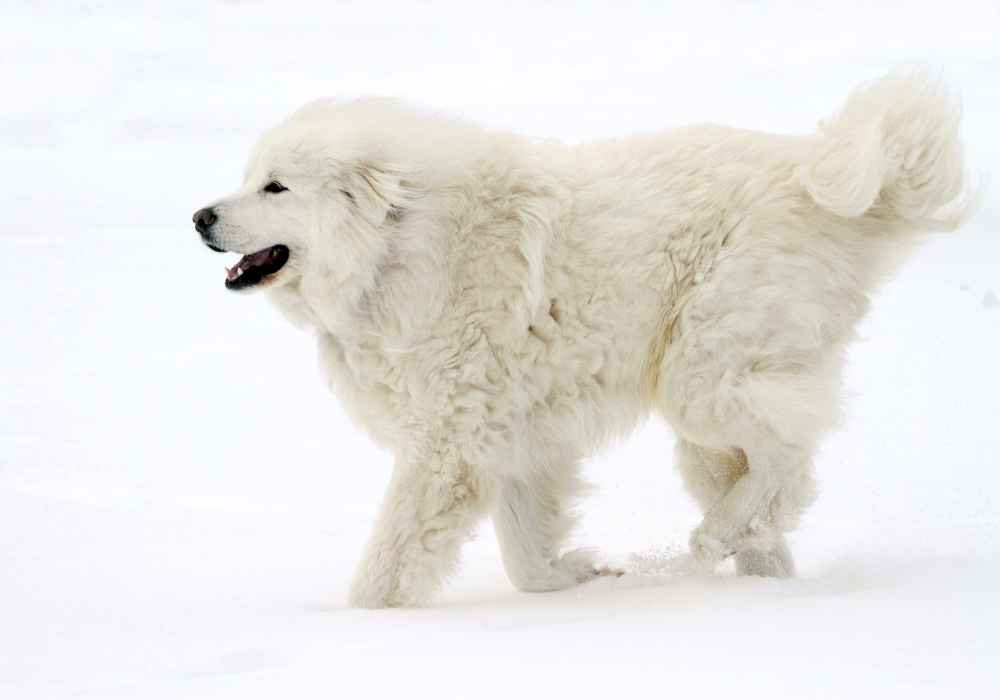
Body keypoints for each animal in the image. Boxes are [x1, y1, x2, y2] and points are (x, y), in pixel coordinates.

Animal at [193, 71, 968, 608]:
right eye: (248, 178)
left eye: (275, 187)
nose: (200, 216)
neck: (394, 245)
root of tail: (818, 181)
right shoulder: (510, 438)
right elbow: (524, 558)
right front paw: (580, 577)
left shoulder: (446, 447)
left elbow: (388, 565)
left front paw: (357, 628)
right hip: (707, 417)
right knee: (774, 494)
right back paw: (758, 580)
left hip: (702, 377)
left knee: (790, 454)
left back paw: (715, 537)